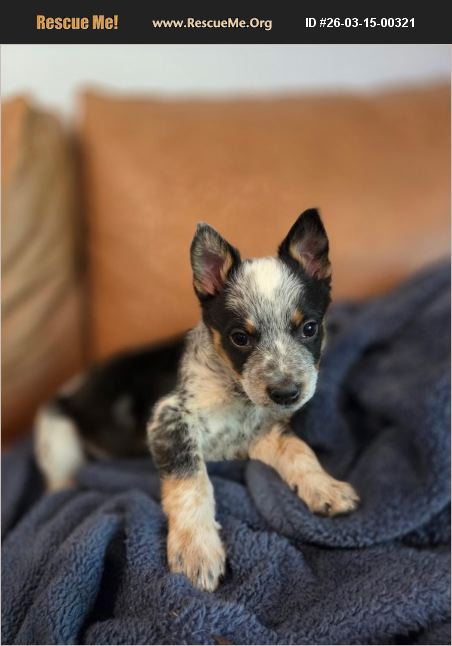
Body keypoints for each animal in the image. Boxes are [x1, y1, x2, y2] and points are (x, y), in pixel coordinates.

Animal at [35, 208, 359, 591]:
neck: (234, 393)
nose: (286, 394)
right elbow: (191, 482)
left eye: (309, 328)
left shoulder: (261, 434)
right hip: (56, 432)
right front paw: (197, 550)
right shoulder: (168, 420)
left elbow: (299, 451)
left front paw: (326, 487)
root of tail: (73, 389)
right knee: (57, 479)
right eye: (240, 338)